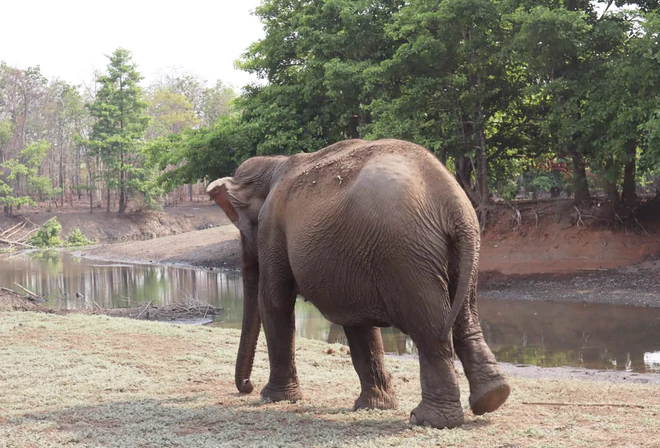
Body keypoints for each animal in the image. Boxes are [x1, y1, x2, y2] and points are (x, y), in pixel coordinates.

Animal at [206, 138, 510, 429]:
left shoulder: (272, 226)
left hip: (404, 255)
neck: (273, 164)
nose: (247, 387)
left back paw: (428, 420)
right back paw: (492, 397)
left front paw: (272, 398)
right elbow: (356, 321)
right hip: (454, 252)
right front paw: (374, 406)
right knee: (464, 318)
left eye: (243, 231)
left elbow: (274, 302)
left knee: (429, 327)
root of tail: (452, 201)